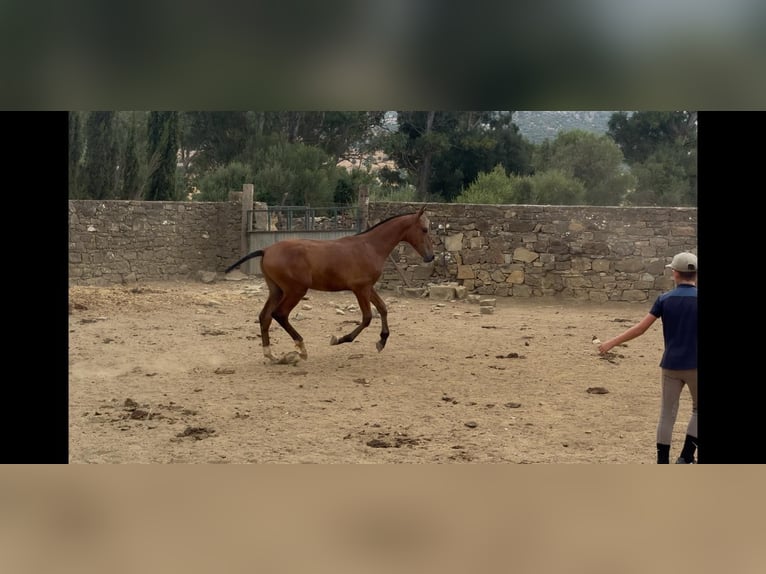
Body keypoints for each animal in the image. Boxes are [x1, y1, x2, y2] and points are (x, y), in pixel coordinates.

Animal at [225, 205, 435, 362]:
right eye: (424, 229)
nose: (430, 257)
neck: (370, 247)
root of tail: (266, 250)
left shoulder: (368, 287)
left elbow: (383, 309)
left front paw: (381, 341)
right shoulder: (360, 288)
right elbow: (367, 317)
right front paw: (340, 339)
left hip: (276, 290)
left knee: (265, 317)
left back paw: (271, 354)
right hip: (295, 290)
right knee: (279, 314)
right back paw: (301, 348)